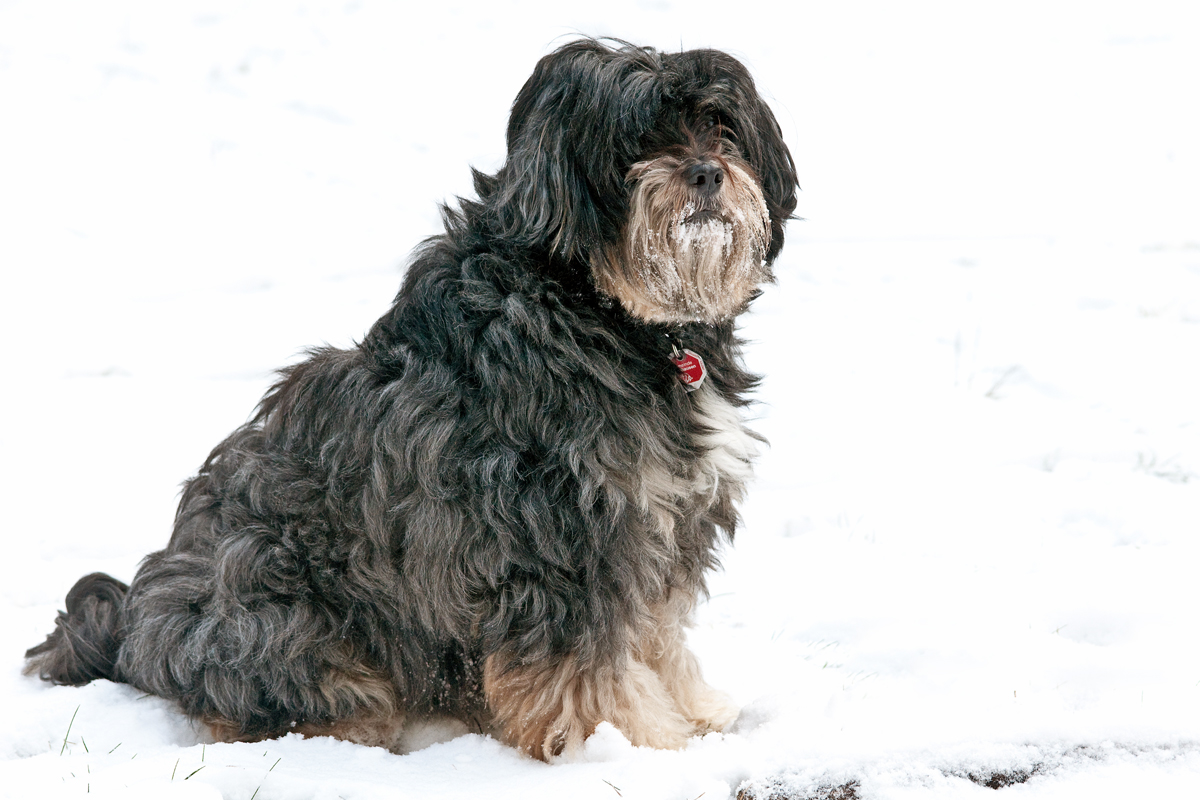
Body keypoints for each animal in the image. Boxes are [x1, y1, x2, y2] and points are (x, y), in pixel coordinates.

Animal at [25, 37, 796, 762]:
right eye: (635, 140)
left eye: (719, 126)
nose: (706, 172)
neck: (603, 309)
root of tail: (134, 629)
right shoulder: (563, 542)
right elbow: (591, 668)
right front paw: (633, 745)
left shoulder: (663, 523)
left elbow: (656, 635)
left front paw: (693, 714)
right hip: (274, 603)